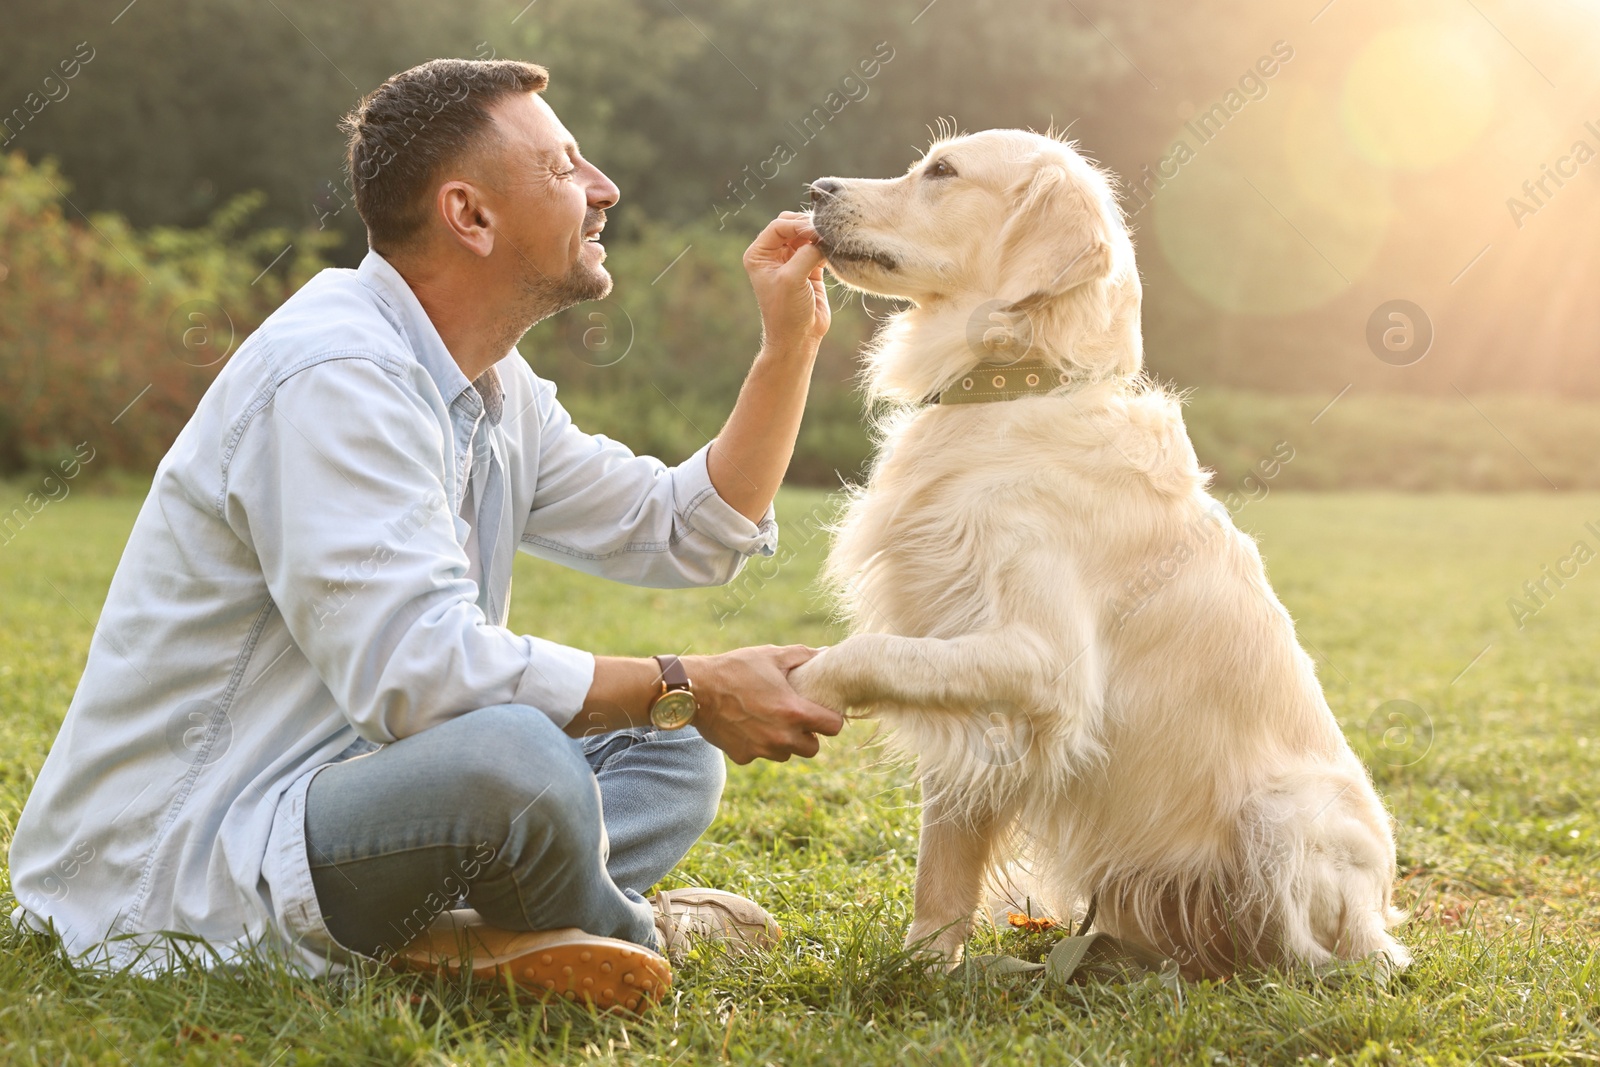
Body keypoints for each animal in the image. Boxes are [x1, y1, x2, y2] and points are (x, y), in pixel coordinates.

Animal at [793, 129, 1408, 979]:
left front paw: (797, 682)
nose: (815, 189)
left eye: (942, 171)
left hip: (1288, 814)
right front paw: (924, 967)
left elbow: (871, 651)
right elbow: (940, 867)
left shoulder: (1045, 661)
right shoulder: (969, 686)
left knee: (1334, 953)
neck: (1014, 389)